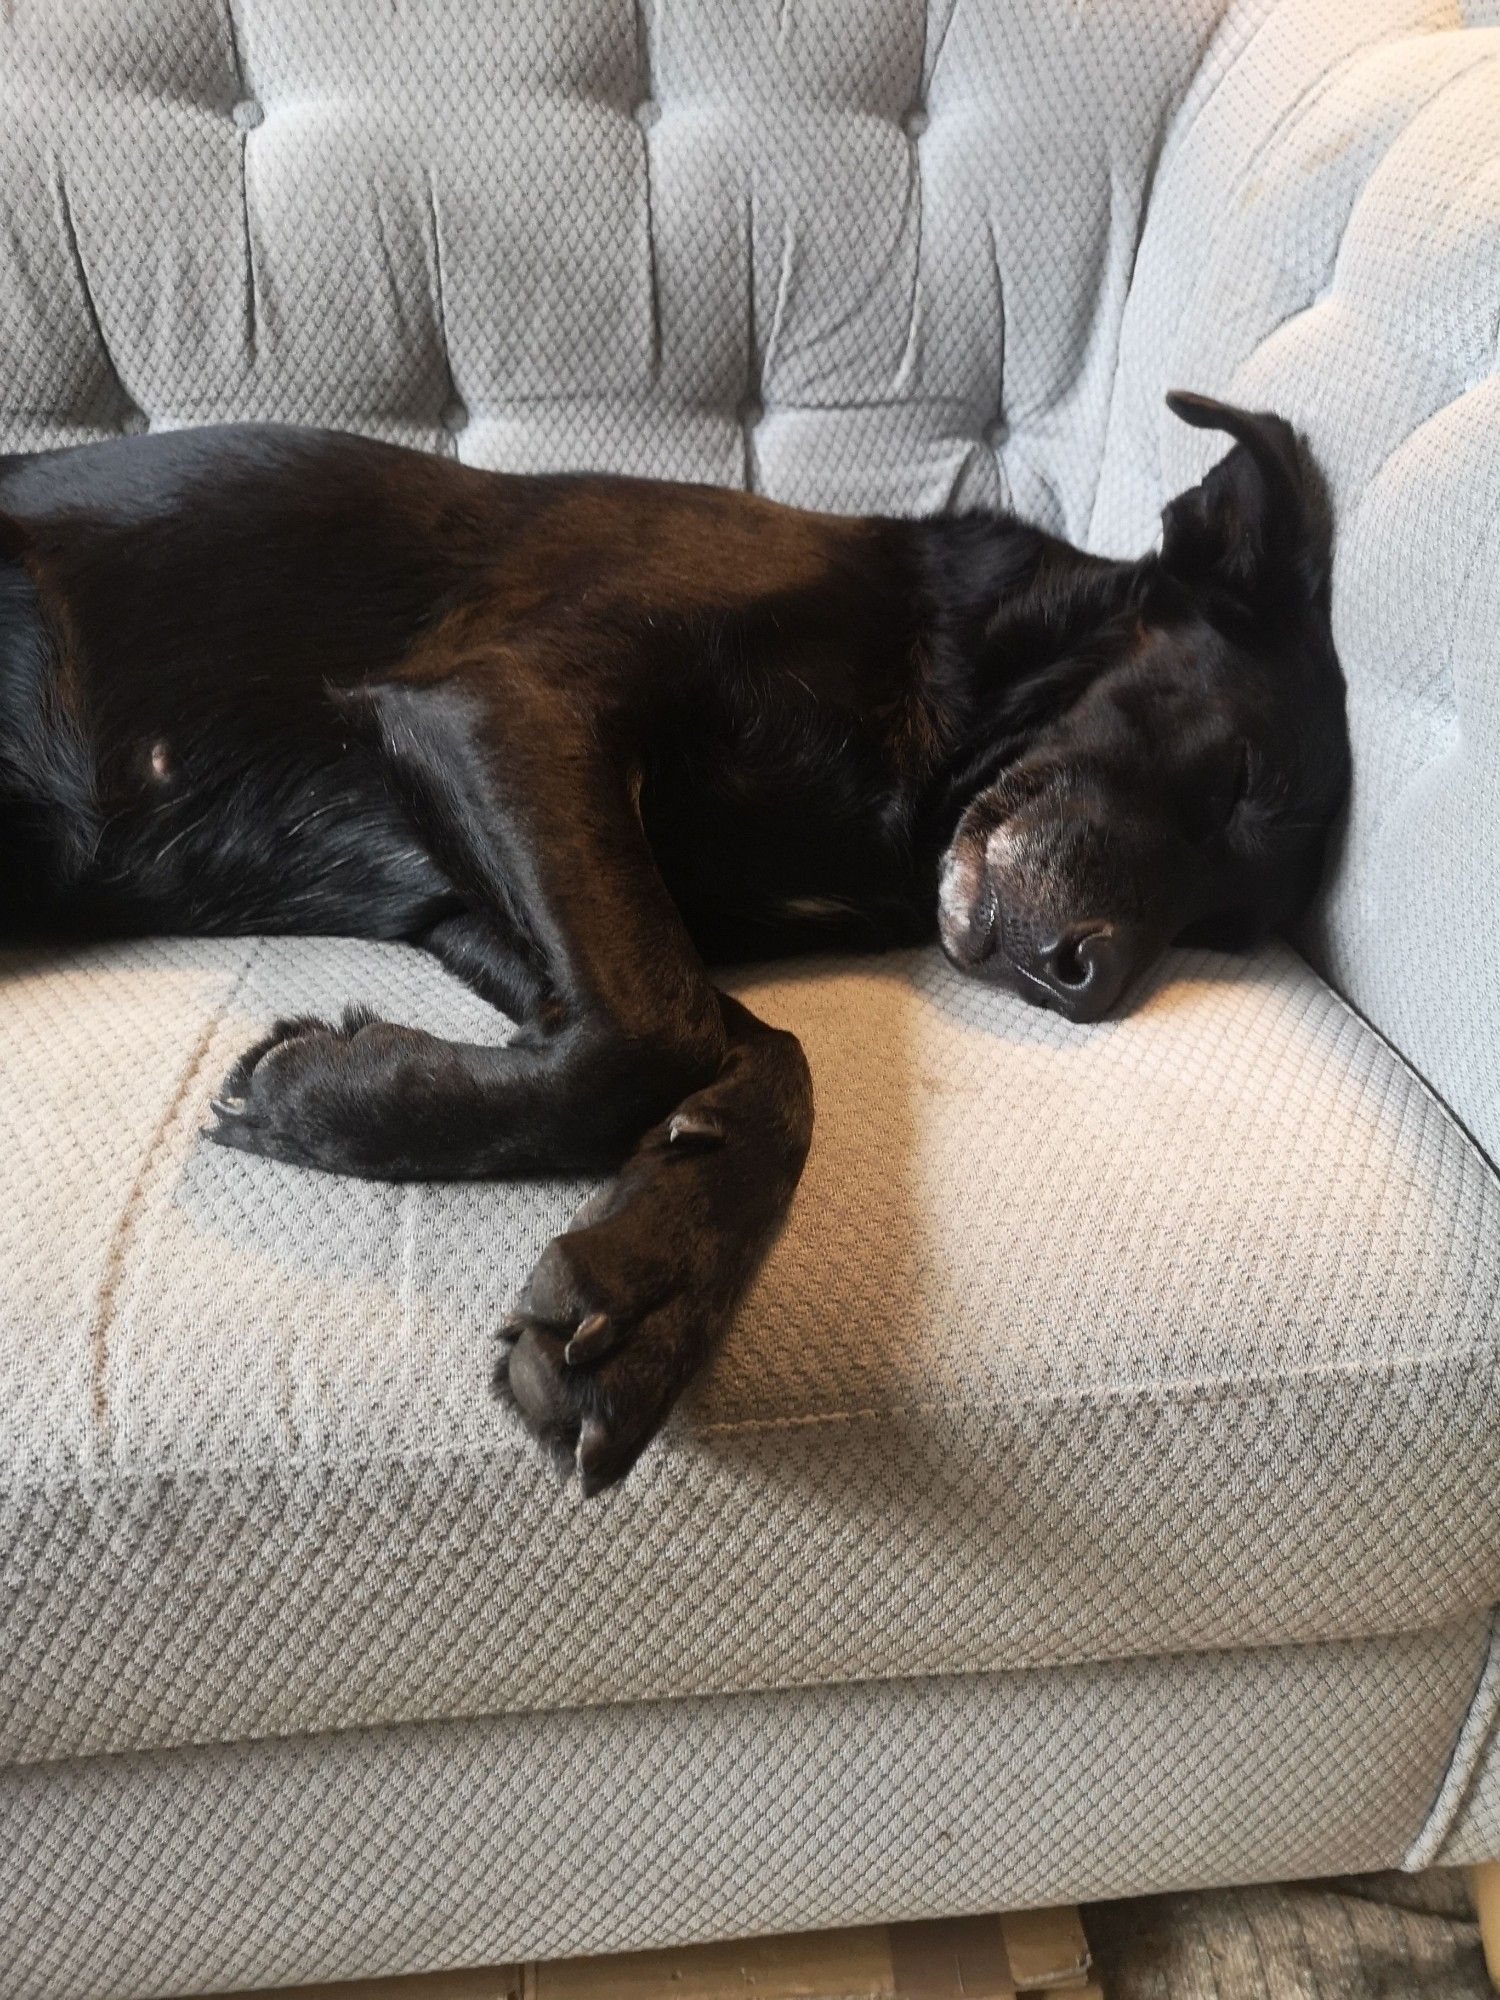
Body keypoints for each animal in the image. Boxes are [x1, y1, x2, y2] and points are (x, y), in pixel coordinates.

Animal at [0, 390, 1352, 1496]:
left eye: (1226, 926)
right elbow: (659, 1029)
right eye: (1235, 775)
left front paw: (649, 1288)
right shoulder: (506, 702)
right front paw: (312, 1101)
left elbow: (742, 1044)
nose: (1092, 983)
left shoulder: (482, 892)